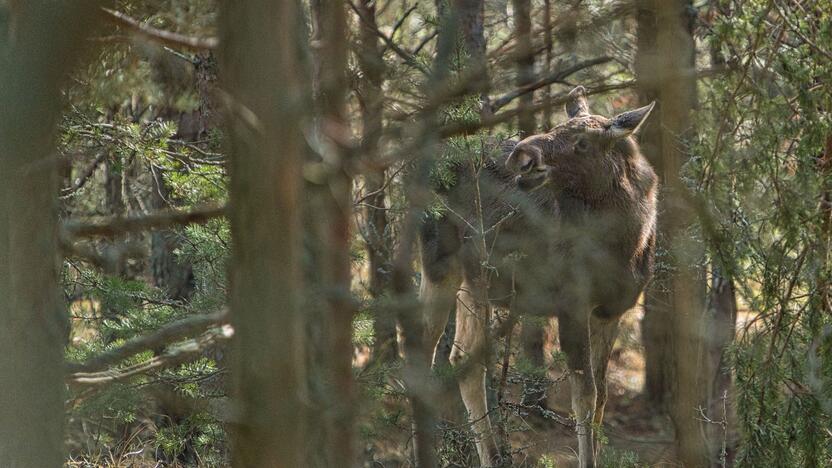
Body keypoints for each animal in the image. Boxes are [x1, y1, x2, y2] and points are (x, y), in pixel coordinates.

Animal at [422, 86, 656, 466]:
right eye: (558, 126)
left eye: (582, 142)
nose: (522, 155)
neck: (626, 246)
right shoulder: (572, 301)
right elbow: (585, 397)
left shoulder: (613, 311)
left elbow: (602, 398)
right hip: (438, 263)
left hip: (476, 279)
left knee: (462, 358)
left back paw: (491, 456)